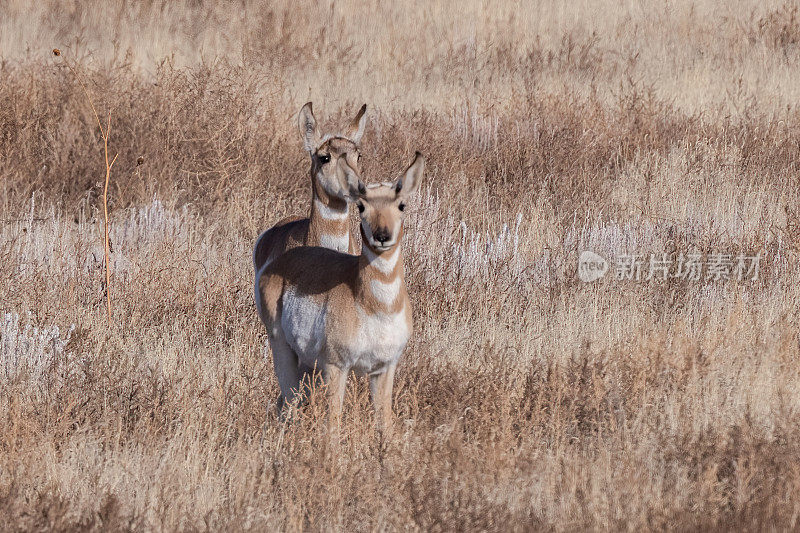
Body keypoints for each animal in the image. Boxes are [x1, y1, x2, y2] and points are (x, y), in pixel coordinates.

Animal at [260, 152, 428, 430]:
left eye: (401, 205)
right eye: (361, 207)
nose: (382, 236)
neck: (375, 306)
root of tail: (277, 261)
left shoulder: (384, 368)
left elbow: (385, 424)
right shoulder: (337, 367)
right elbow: (333, 424)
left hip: (309, 365)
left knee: (285, 401)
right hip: (282, 348)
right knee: (289, 402)